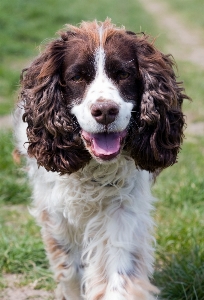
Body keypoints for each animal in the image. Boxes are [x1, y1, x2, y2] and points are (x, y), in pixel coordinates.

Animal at [14, 19, 188, 298]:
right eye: (77, 77)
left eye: (123, 74)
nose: (105, 111)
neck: (91, 169)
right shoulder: (54, 209)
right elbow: (70, 268)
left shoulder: (121, 206)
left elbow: (118, 271)